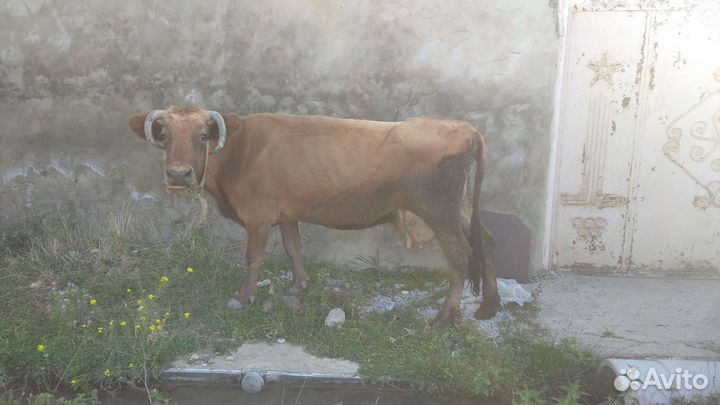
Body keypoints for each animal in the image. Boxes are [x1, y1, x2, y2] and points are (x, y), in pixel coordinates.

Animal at [128, 106, 499, 324]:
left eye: (203, 136)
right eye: (165, 136)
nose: (178, 174)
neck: (238, 151)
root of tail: (463, 128)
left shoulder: (257, 216)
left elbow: (254, 257)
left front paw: (243, 298)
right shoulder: (287, 213)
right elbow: (293, 247)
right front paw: (300, 286)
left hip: (441, 214)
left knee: (460, 259)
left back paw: (444, 318)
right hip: (462, 209)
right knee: (487, 245)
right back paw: (488, 307)